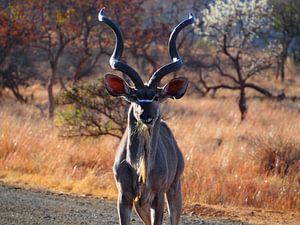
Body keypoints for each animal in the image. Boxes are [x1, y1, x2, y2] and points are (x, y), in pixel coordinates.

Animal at [98, 7, 195, 224]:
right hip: (141, 203)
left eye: (157, 97)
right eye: (134, 97)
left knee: (175, 216)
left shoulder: (157, 197)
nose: (146, 116)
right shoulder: (125, 197)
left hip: (174, 188)